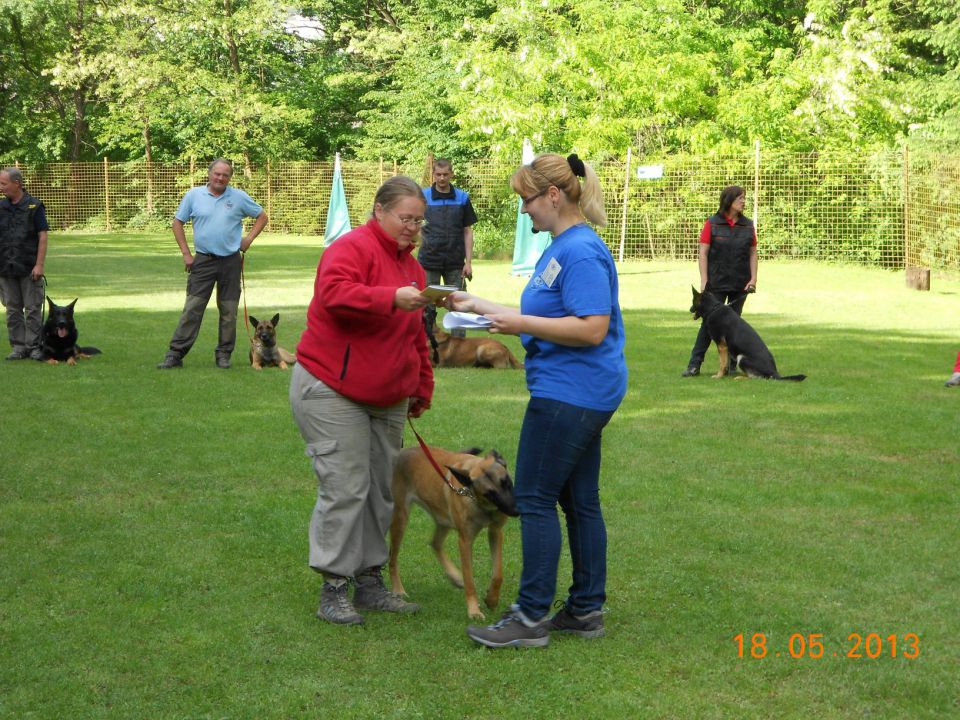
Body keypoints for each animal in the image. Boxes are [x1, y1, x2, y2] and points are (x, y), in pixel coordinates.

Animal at [390, 444, 520, 620]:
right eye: (489, 493)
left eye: (506, 481)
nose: (516, 511)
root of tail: (402, 452)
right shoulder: (465, 541)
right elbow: (470, 581)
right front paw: (474, 610)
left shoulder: (495, 532)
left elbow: (497, 574)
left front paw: (492, 599)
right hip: (400, 519)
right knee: (393, 559)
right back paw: (398, 590)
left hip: (443, 519)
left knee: (435, 543)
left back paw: (455, 576)